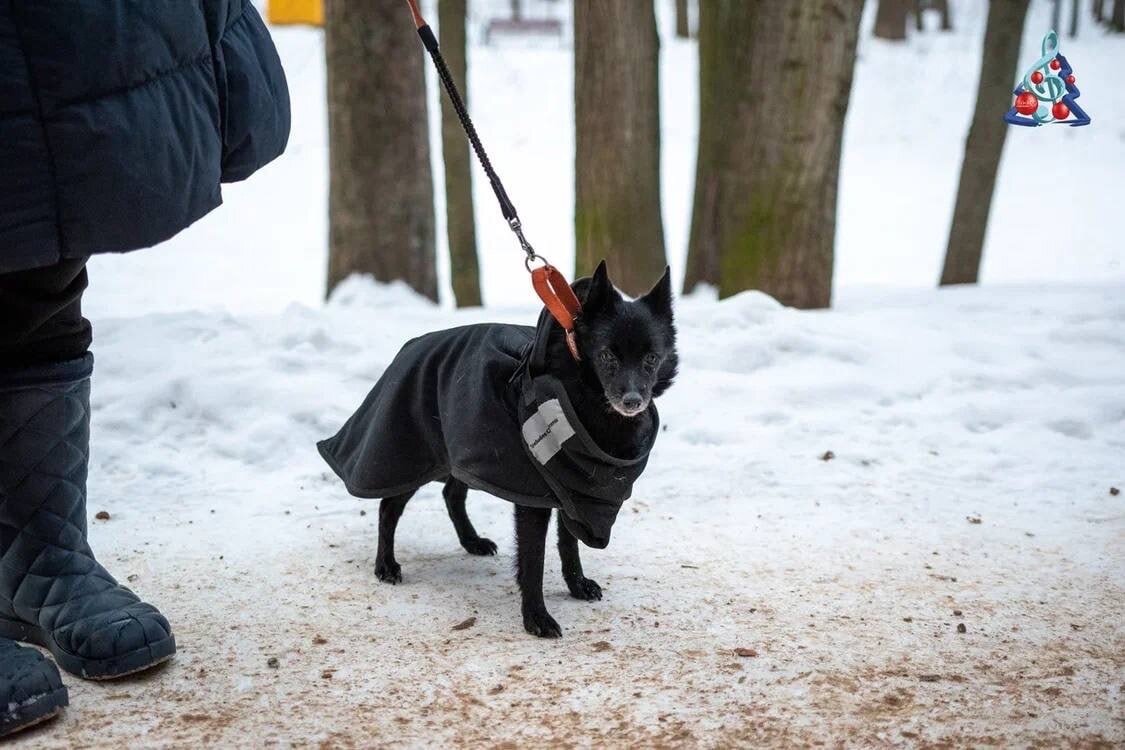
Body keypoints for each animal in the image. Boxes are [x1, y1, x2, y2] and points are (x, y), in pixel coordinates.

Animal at [321, 260, 679, 638]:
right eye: (608, 355)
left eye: (651, 358)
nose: (633, 401)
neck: (578, 391)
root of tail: (412, 345)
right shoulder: (534, 498)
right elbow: (533, 561)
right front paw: (536, 617)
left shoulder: (571, 491)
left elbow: (568, 544)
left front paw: (576, 585)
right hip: (413, 456)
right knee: (389, 507)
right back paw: (386, 564)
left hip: (465, 453)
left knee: (451, 494)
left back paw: (471, 541)